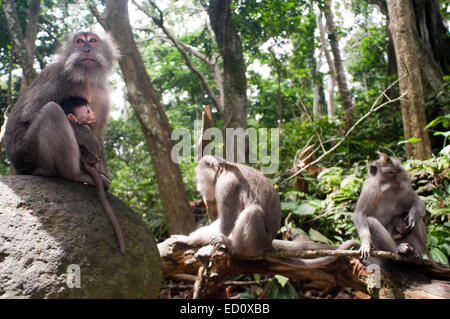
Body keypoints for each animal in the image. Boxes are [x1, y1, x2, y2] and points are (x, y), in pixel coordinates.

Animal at [3, 30, 118, 188]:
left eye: (93, 40)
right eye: (79, 41)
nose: (86, 49)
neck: (85, 78)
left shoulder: (102, 93)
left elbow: (98, 133)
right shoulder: (58, 74)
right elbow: (29, 114)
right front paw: (87, 136)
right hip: (25, 153)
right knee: (51, 111)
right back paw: (75, 175)